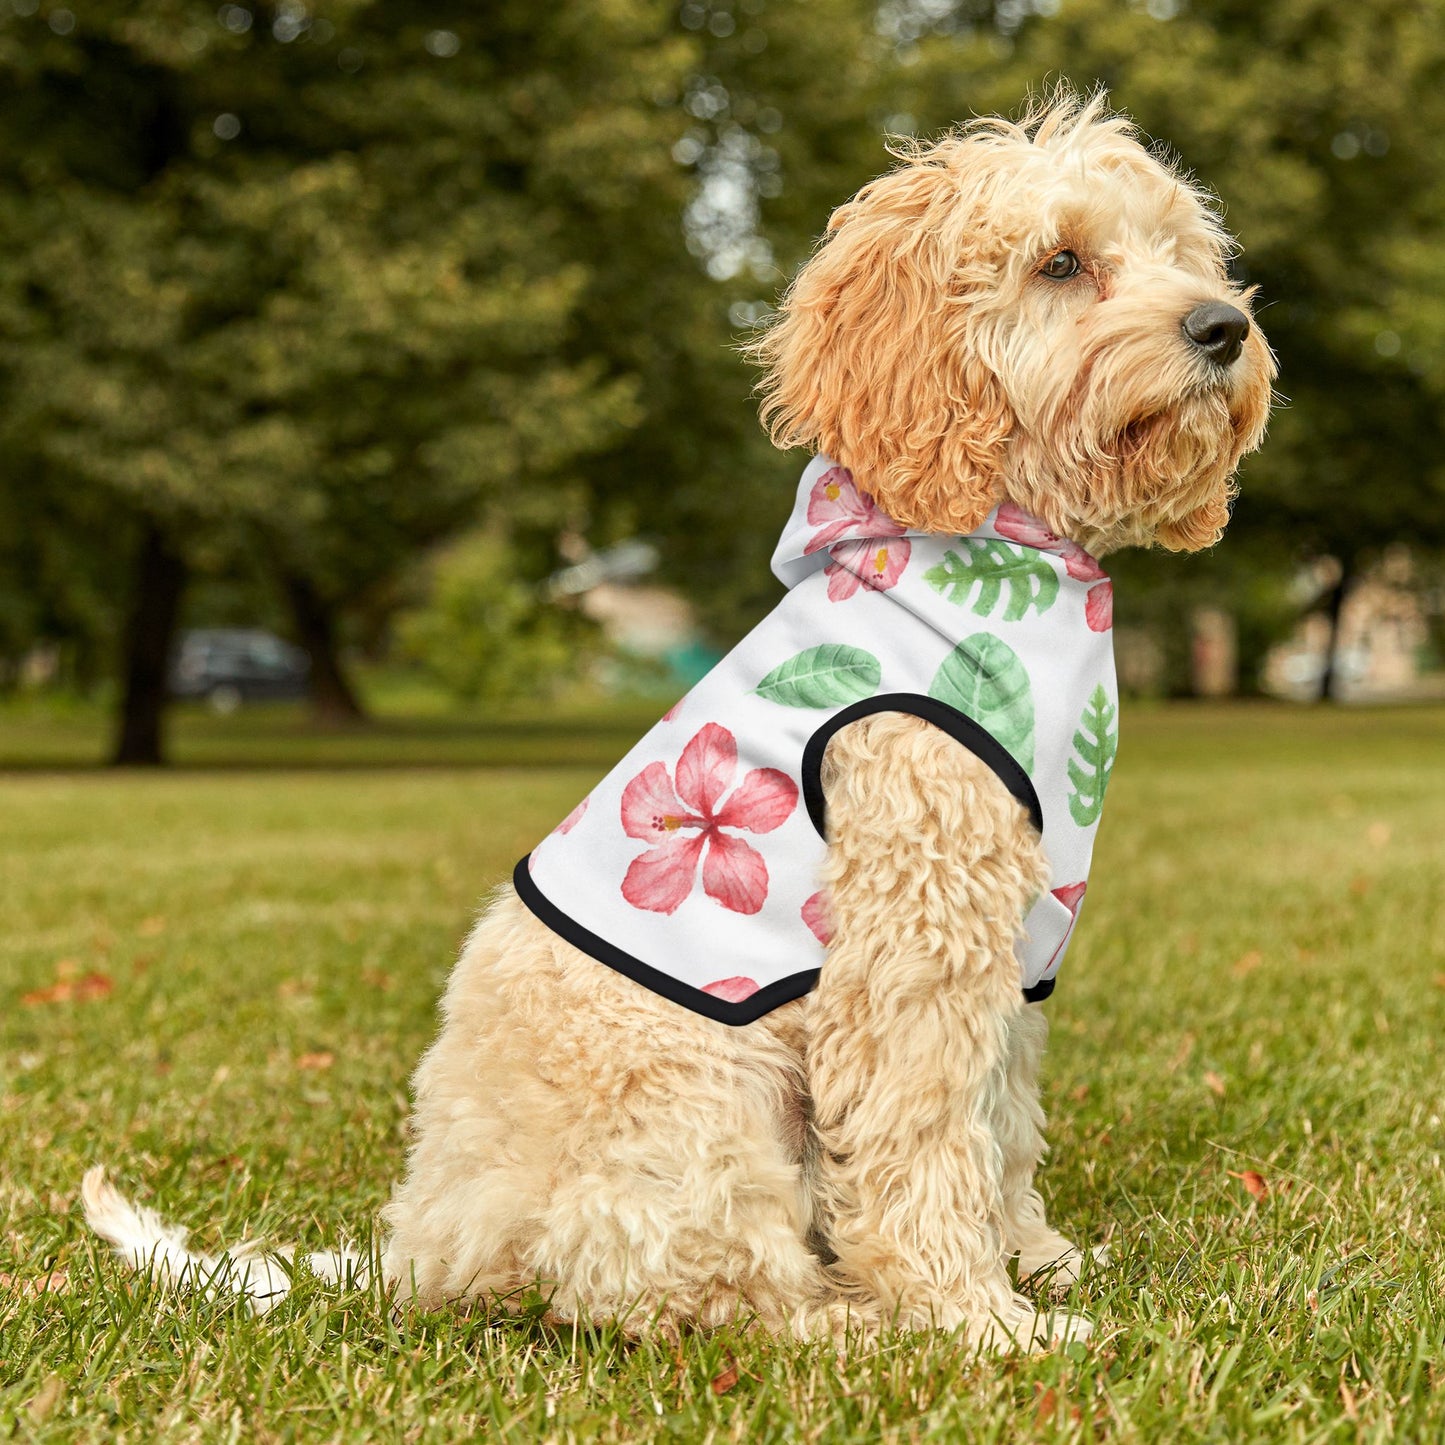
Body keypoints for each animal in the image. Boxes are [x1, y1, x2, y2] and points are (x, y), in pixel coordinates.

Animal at [84, 96, 1271, 1346]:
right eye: (1060, 262)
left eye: (1181, 253)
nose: (1222, 326)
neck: (1005, 552)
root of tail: (424, 1248)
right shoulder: (913, 942)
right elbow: (924, 1141)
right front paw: (977, 1319)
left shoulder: (1014, 949)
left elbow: (999, 1123)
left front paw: (1035, 1259)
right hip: (705, 1101)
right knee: (702, 1288)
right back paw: (849, 1319)